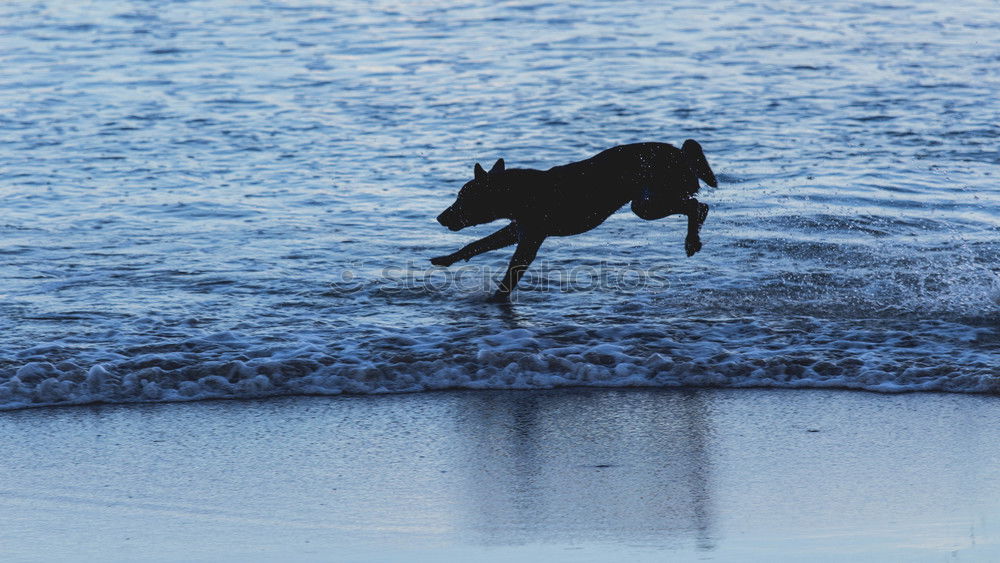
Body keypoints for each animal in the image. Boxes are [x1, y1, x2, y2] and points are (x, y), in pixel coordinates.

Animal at [434, 140, 716, 302]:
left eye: (462, 198)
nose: (439, 217)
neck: (518, 193)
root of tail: (680, 151)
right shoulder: (517, 230)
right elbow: (477, 244)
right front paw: (447, 258)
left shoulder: (529, 241)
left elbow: (509, 278)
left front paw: (495, 300)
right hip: (648, 202)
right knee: (697, 205)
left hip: (646, 204)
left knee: (698, 206)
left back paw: (692, 241)